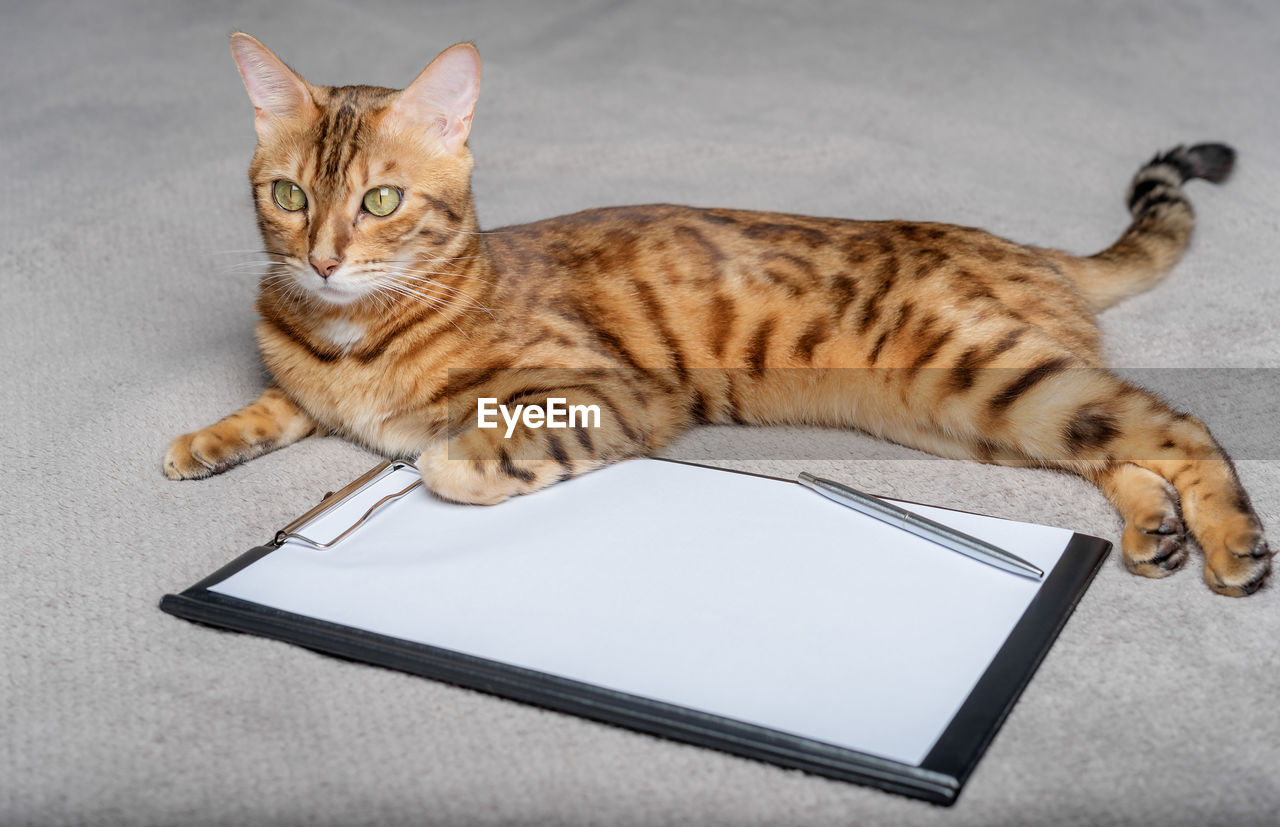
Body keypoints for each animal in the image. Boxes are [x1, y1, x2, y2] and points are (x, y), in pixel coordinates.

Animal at [162, 35, 1269, 599]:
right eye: (290, 196)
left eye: (381, 201)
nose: (323, 258)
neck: (353, 336)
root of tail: (1026, 248)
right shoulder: (307, 375)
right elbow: (281, 401)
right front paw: (207, 441)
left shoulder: (606, 394)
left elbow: (452, 457)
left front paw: (427, 456)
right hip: (983, 411)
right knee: (1118, 444)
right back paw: (1154, 531)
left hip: (981, 378)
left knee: (1180, 423)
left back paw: (1230, 545)